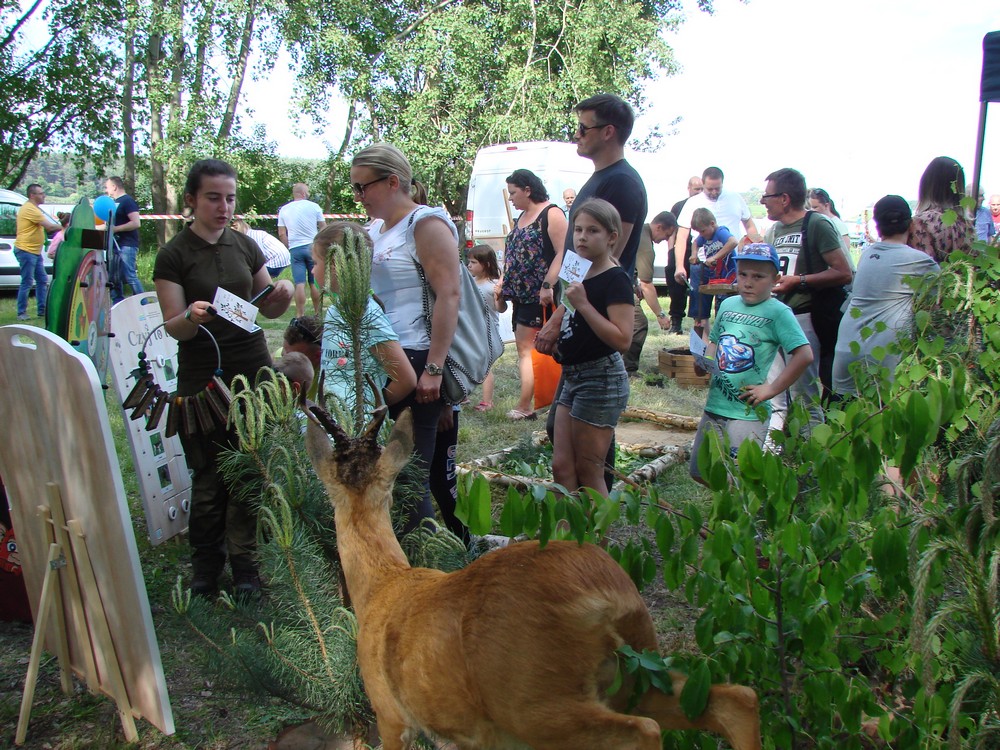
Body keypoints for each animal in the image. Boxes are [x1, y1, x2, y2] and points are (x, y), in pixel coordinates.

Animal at [305, 404, 761, 750]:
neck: (382, 585)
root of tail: (607, 598)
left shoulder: (390, 714)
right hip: (639, 668)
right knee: (737, 698)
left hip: (535, 703)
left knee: (644, 732)